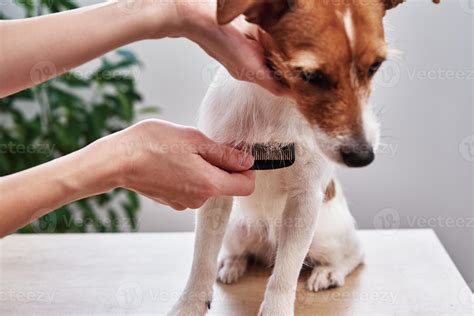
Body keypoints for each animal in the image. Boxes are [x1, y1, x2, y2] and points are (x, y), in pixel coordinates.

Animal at [169, 0, 440, 316]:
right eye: (311, 76)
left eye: (375, 66)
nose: (363, 156)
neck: (277, 107)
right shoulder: (217, 189)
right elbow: (202, 258)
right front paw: (189, 304)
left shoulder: (305, 200)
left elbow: (286, 271)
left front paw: (276, 308)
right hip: (238, 228)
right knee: (241, 251)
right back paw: (232, 263)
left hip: (325, 234)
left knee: (355, 253)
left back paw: (329, 271)